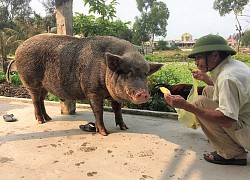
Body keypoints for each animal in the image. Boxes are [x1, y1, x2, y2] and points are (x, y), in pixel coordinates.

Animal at [16, 33, 164, 135]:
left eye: (145, 74)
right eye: (127, 72)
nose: (143, 93)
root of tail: (19, 47)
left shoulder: (113, 95)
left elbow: (118, 109)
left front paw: (125, 127)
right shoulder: (92, 91)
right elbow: (98, 111)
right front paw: (104, 133)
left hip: (44, 86)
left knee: (41, 99)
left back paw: (48, 118)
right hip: (30, 81)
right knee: (35, 100)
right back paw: (41, 121)